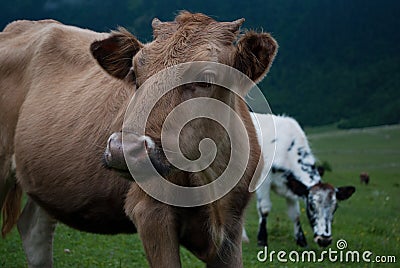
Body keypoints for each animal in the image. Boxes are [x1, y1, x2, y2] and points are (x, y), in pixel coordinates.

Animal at [0, 12, 276, 268]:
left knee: (34, 230)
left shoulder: (231, 229)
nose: (123, 149)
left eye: (207, 78)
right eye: (134, 73)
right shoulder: (150, 213)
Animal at [244, 113, 356, 247]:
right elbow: (264, 209)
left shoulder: (292, 186)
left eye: (335, 207)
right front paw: (262, 239)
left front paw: (301, 240)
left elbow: (295, 214)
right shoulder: (264, 180)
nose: (324, 240)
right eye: (311, 206)